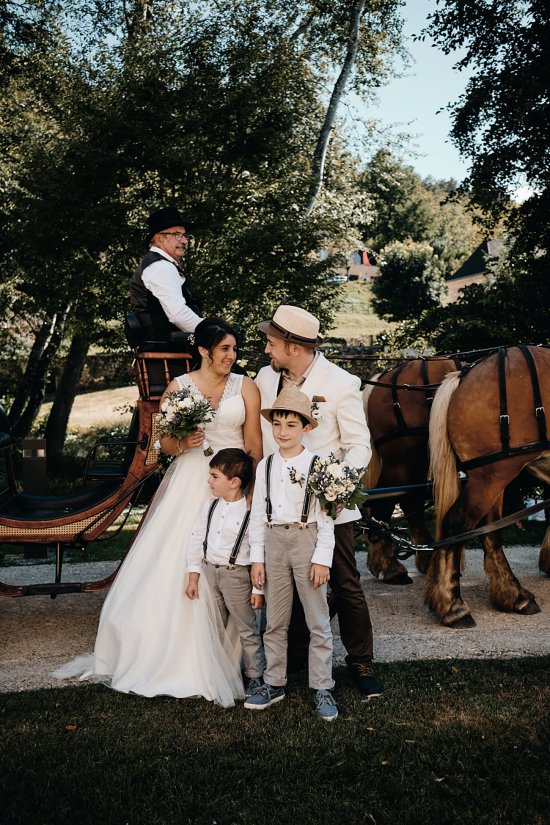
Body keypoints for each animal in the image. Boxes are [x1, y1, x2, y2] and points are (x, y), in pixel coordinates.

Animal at [364, 358, 464, 584]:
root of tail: (383, 379)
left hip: (417, 459)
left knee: (410, 499)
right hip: (401, 461)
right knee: (386, 501)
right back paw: (391, 567)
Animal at [432, 346, 550, 624]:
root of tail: (464, 375)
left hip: (492, 477)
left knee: (490, 531)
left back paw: (514, 595)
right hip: (492, 475)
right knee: (457, 524)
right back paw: (454, 606)